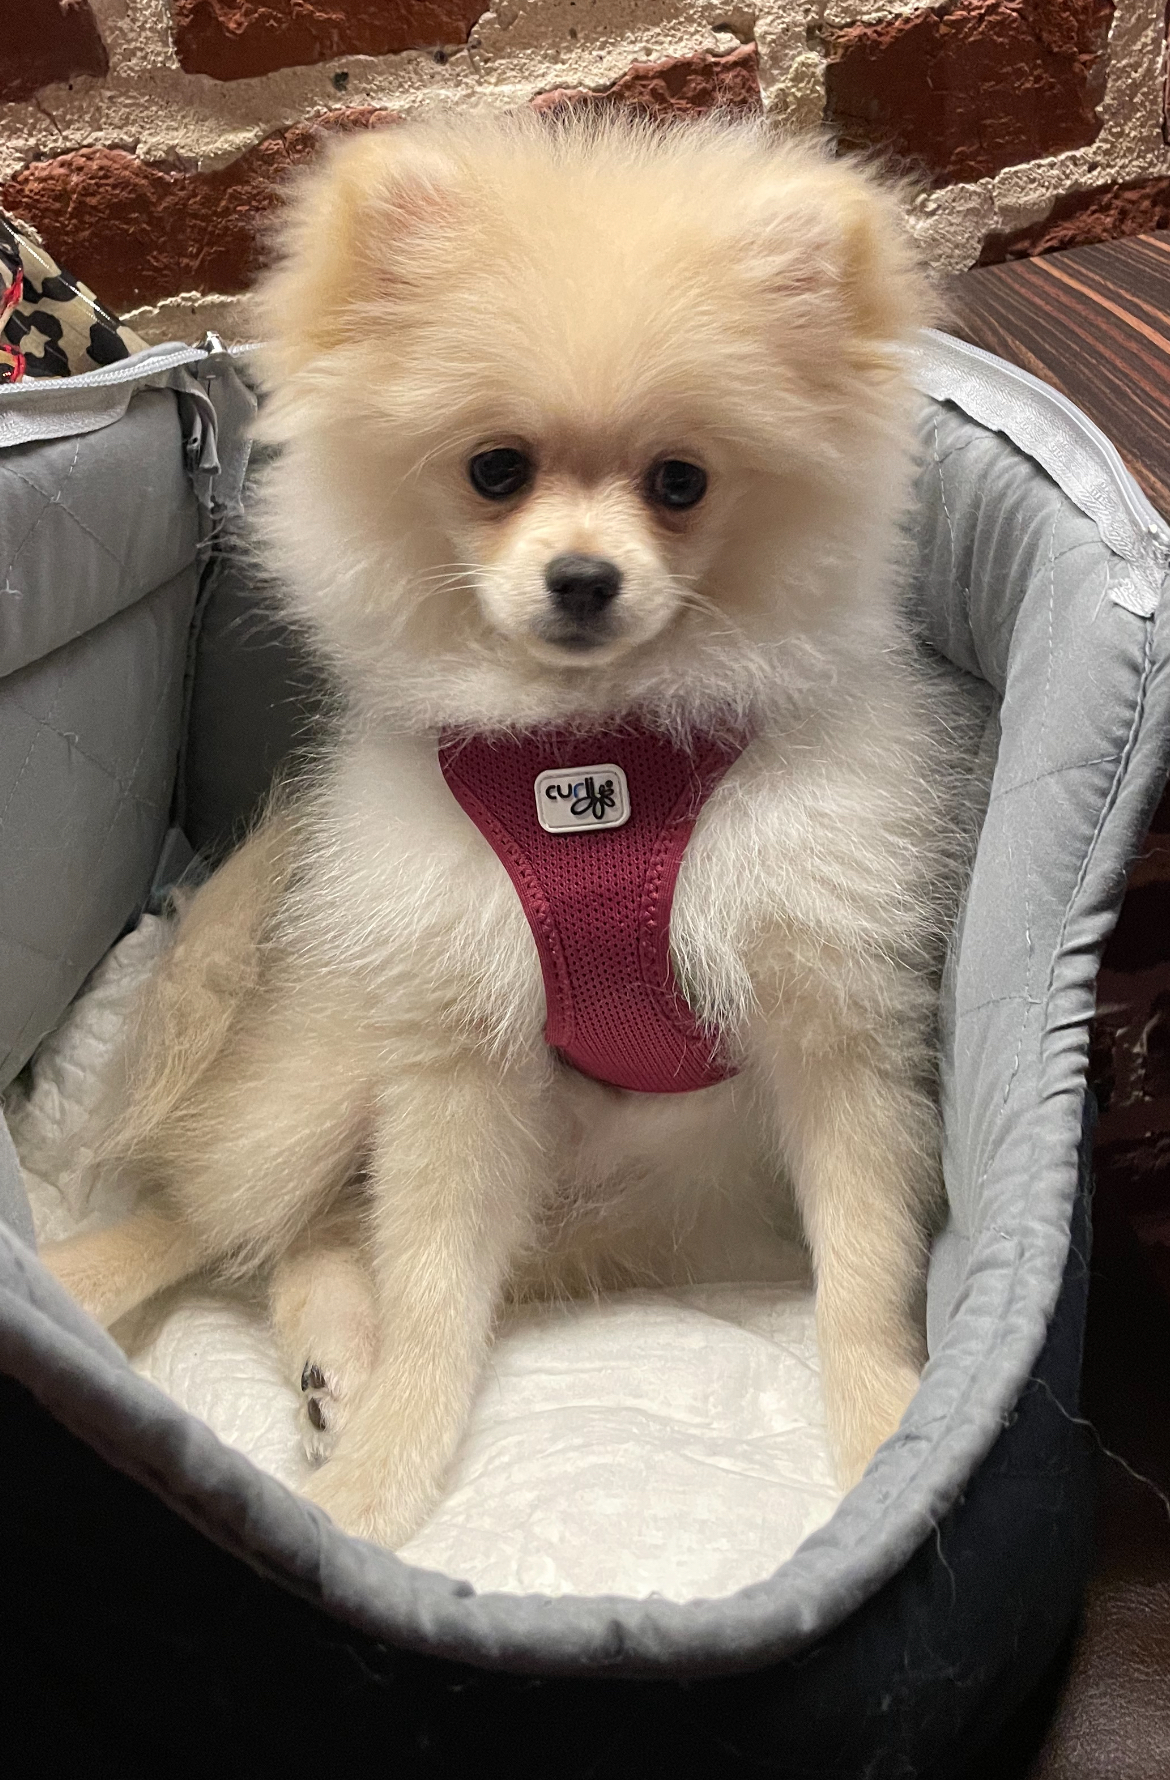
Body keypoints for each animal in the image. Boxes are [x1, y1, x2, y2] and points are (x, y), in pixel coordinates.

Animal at [42, 109, 963, 1548]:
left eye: (681, 481)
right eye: (495, 469)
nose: (582, 579)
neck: (597, 750)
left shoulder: (831, 1026)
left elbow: (862, 1273)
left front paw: (882, 1441)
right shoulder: (454, 1049)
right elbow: (433, 1300)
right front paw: (381, 1480)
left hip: (635, 1197)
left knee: (317, 1236)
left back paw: (328, 1355)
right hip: (320, 1077)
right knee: (218, 1210)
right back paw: (97, 1288)